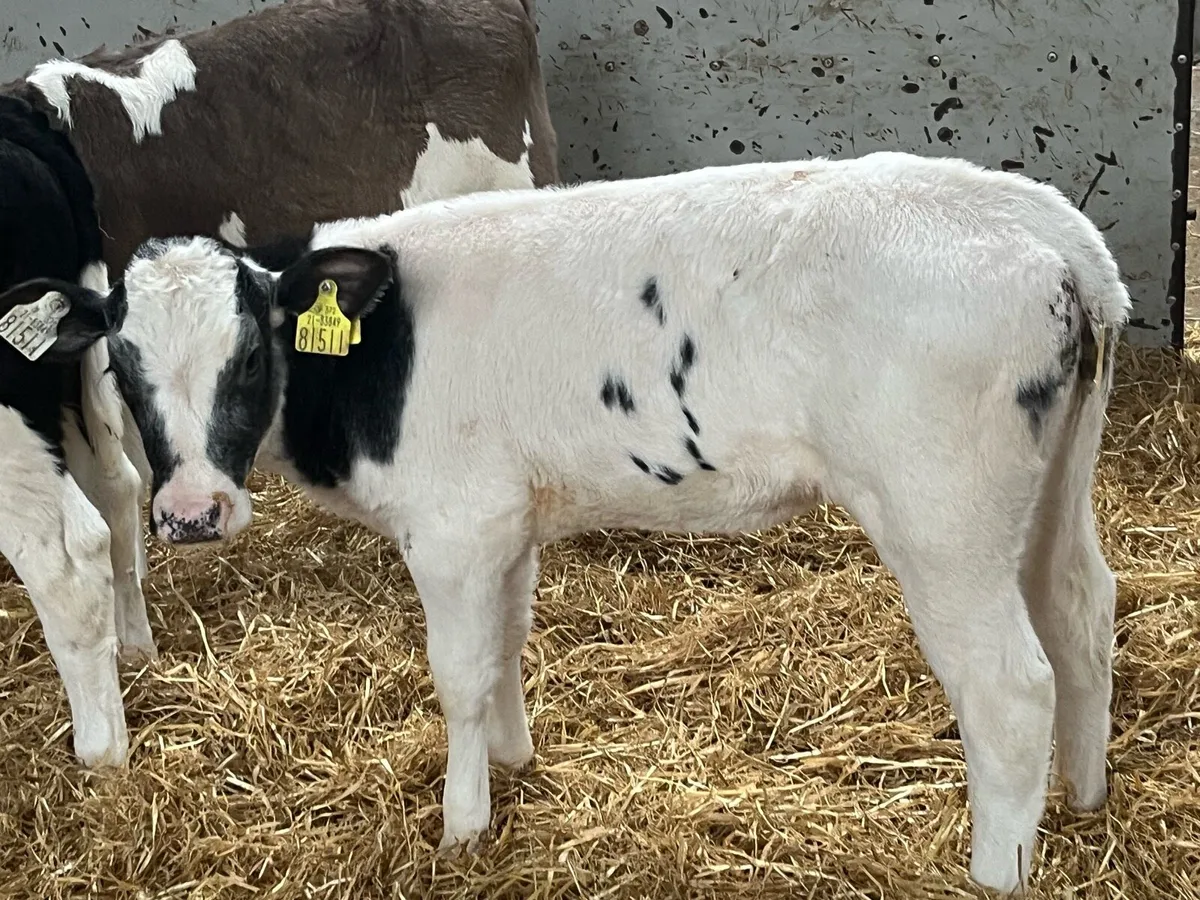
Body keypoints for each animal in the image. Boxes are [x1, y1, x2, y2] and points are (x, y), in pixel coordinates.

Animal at [47, 150, 1129, 891]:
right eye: (126, 372)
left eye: (250, 358)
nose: (191, 513)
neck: (382, 353)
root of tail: (1040, 223)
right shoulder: (508, 521)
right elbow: (506, 645)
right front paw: (514, 764)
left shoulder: (454, 527)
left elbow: (458, 673)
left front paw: (462, 824)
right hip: (1045, 497)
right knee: (1082, 613)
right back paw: (1084, 800)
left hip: (942, 519)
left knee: (1009, 685)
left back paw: (996, 870)